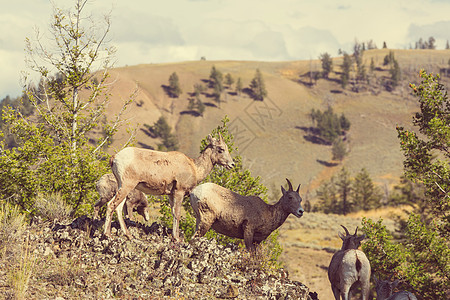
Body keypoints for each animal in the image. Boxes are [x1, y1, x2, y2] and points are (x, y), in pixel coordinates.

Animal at [103, 132, 234, 240]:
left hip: (122, 186)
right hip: (127, 185)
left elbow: (173, 213)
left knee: (118, 207)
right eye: (221, 149)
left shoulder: (171, 194)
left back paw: (128, 235)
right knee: (111, 204)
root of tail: (114, 158)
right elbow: (177, 213)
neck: (195, 168)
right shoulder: (179, 191)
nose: (232, 164)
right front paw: (177, 238)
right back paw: (107, 234)